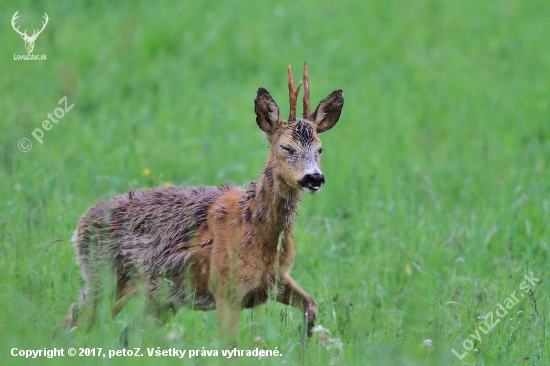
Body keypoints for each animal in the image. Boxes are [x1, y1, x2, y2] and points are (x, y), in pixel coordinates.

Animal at [63, 62, 344, 348]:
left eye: (320, 149)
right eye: (286, 147)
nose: (314, 178)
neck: (252, 226)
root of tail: (81, 226)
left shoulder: (275, 279)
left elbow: (311, 306)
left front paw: (305, 347)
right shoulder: (226, 289)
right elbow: (229, 345)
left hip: (161, 298)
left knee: (123, 334)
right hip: (105, 277)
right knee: (72, 325)